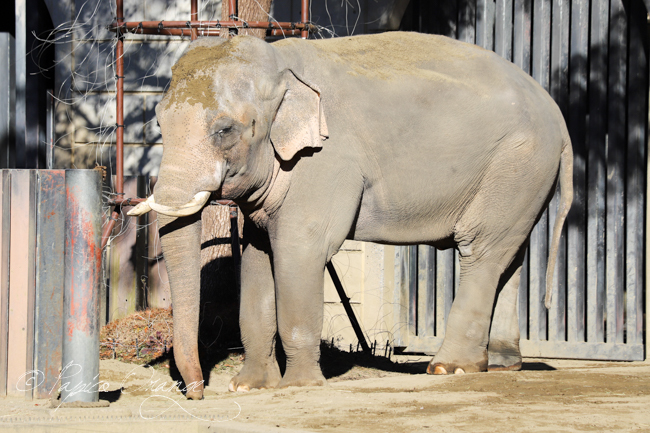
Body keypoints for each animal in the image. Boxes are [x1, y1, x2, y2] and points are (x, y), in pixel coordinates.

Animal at [129, 32, 568, 400]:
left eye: (224, 130)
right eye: (159, 123)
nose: (198, 393)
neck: (281, 63)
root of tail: (558, 116)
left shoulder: (326, 160)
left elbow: (300, 251)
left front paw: (299, 386)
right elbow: (258, 258)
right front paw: (249, 387)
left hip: (518, 162)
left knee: (480, 251)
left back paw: (450, 368)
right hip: (522, 176)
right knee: (509, 256)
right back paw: (502, 363)